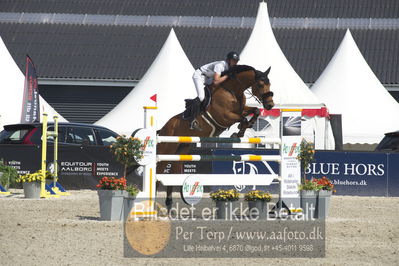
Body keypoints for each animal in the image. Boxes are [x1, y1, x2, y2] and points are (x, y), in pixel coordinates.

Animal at [156, 65, 276, 210]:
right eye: (260, 84)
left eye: (269, 84)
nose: (270, 105)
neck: (232, 90)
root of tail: (164, 127)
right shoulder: (224, 116)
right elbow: (241, 118)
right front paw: (240, 130)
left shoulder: (242, 109)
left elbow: (255, 111)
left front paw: (245, 127)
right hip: (167, 149)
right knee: (158, 171)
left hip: (182, 149)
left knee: (173, 172)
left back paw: (170, 205)